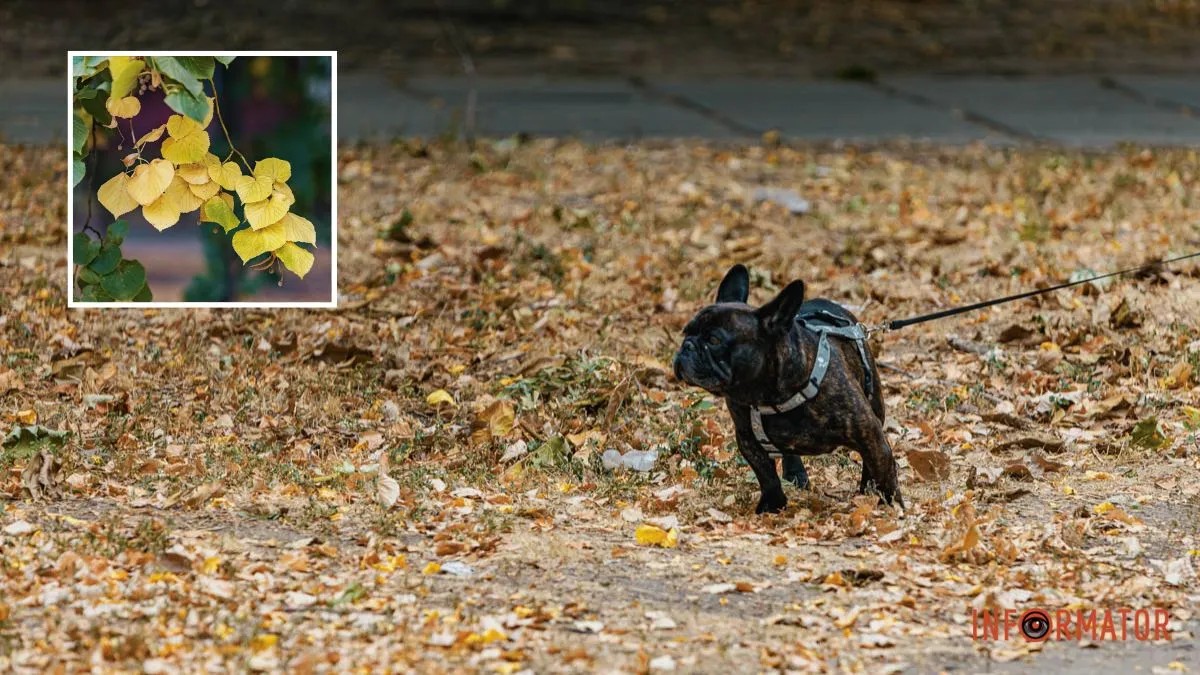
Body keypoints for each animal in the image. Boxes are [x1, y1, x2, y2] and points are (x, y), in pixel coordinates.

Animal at [676, 263, 902, 509]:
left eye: (714, 340)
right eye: (686, 332)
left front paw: (891, 507)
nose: (687, 346)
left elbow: (882, 471)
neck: (769, 396)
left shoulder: (870, 434)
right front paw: (772, 506)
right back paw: (796, 474)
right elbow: (766, 475)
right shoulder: (748, 439)